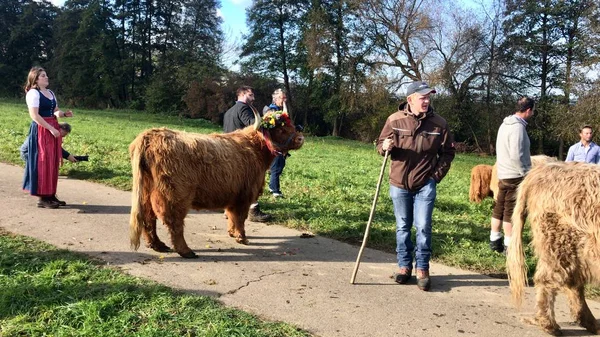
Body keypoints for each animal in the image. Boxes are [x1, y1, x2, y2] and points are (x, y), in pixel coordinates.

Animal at [128, 107, 302, 258]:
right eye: (280, 130)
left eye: (292, 125)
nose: (301, 138)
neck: (255, 149)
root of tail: (150, 136)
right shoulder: (245, 194)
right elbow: (240, 217)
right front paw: (242, 238)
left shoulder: (234, 194)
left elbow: (231, 215)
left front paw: (232, 233)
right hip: (176, 194)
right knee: (173, 221)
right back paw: (186, 251)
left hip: (147, 191)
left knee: (148, 217)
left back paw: (157, 245)